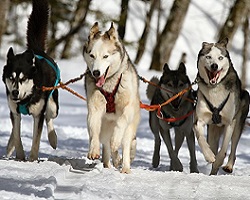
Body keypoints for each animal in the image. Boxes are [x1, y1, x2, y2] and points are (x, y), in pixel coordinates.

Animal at [2, 0, 59, 161]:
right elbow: (17, 135)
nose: (15, 92)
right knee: (14, 129)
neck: (25, 98)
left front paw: (32, 159)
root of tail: (37, 50)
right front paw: (20, 156)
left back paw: (53, 139)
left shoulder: (38, 115)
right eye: (11, 77)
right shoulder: (14, 112)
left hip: (53, 105)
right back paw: (9, 147)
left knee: (49, 117)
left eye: (24, 78)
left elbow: (36, 140)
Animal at [82, 21, 140, 173]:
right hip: (105, 128)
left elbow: (121, 123)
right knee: (106, 145)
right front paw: (93, 150)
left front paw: (115, 140)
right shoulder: (94, 109)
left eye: (106, 56)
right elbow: (94, 130)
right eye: (92, 55)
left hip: (129, 128)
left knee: (125, 144)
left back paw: (125, 167)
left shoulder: (127, 109)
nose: (96, 72)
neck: (109, 84)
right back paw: (109, 163)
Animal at [194, 38, 249, 174]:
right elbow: (201, 138)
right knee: (213, 145)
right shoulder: (199, 120)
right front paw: (209, 156)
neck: (214, 89)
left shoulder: (229, 123)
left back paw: (228, 166)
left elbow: (223, 149)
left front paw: (218, 160)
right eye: (208, 56)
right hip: (213, 132)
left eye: (220, 57)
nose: (214, 66)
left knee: (233, 147)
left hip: (238, 124)